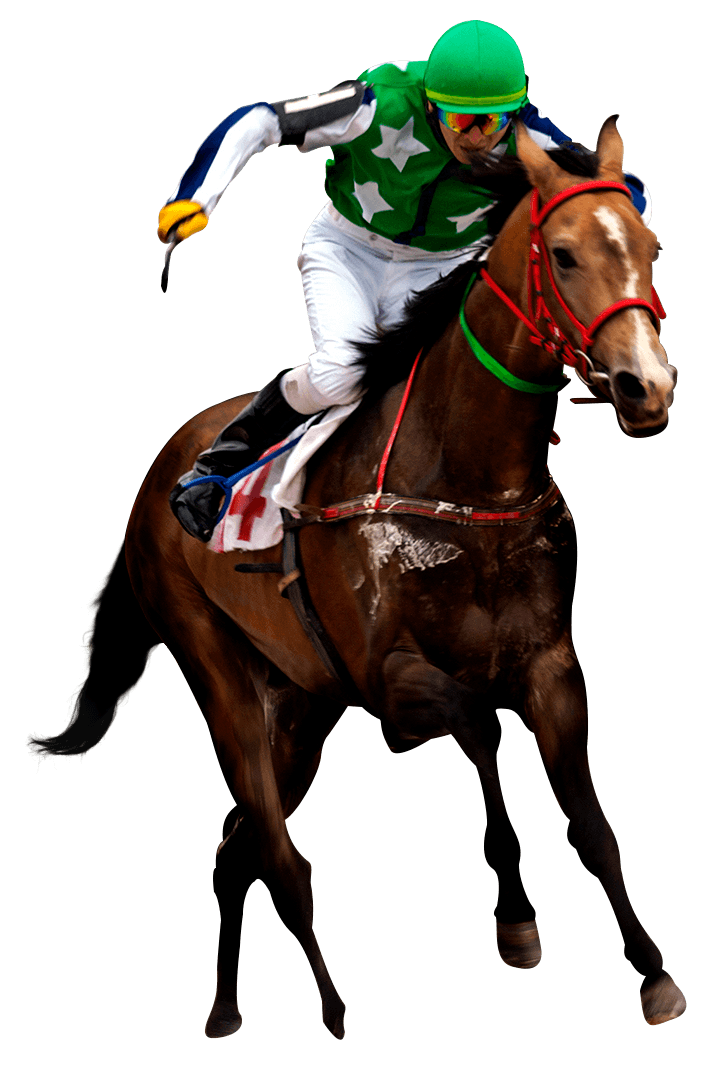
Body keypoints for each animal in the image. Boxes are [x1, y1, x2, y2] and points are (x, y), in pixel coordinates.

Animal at [27, 118, 685, 1037]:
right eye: (560, 255)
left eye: (650, 248)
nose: (644, 386)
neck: (466, 481)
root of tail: (162, 467)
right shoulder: (392, 680)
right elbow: (480, 734)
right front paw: (515, 918)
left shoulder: (552, 668)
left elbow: (591, 826)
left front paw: (652, 970)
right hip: (216, 669)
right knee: (278, 857)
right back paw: (333, 1009)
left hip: (303, 708)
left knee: (234, 852)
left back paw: (225, 1007)